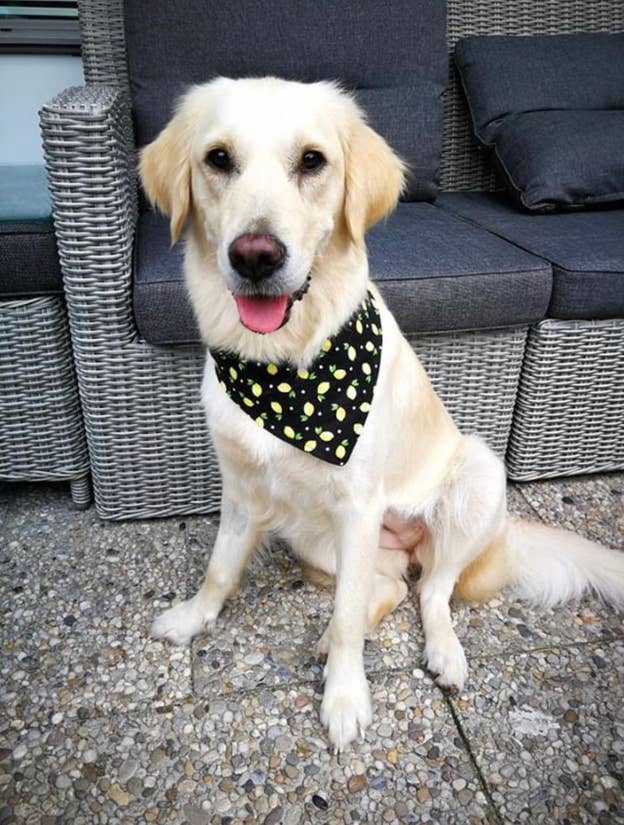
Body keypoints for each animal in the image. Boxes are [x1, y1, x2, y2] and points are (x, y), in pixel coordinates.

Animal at [141, 77, 624, 748]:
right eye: (217, 159)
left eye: (311, 161)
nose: (256, 256)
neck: (282, 367)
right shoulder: (242, 492)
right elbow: (218, 570)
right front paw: (192, 619)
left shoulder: (359, 506)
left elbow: (348, 616)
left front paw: (346, 699)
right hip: (314, 534)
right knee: (393, 587)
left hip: (475, 475)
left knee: (433, 593)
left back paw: (442, 653)